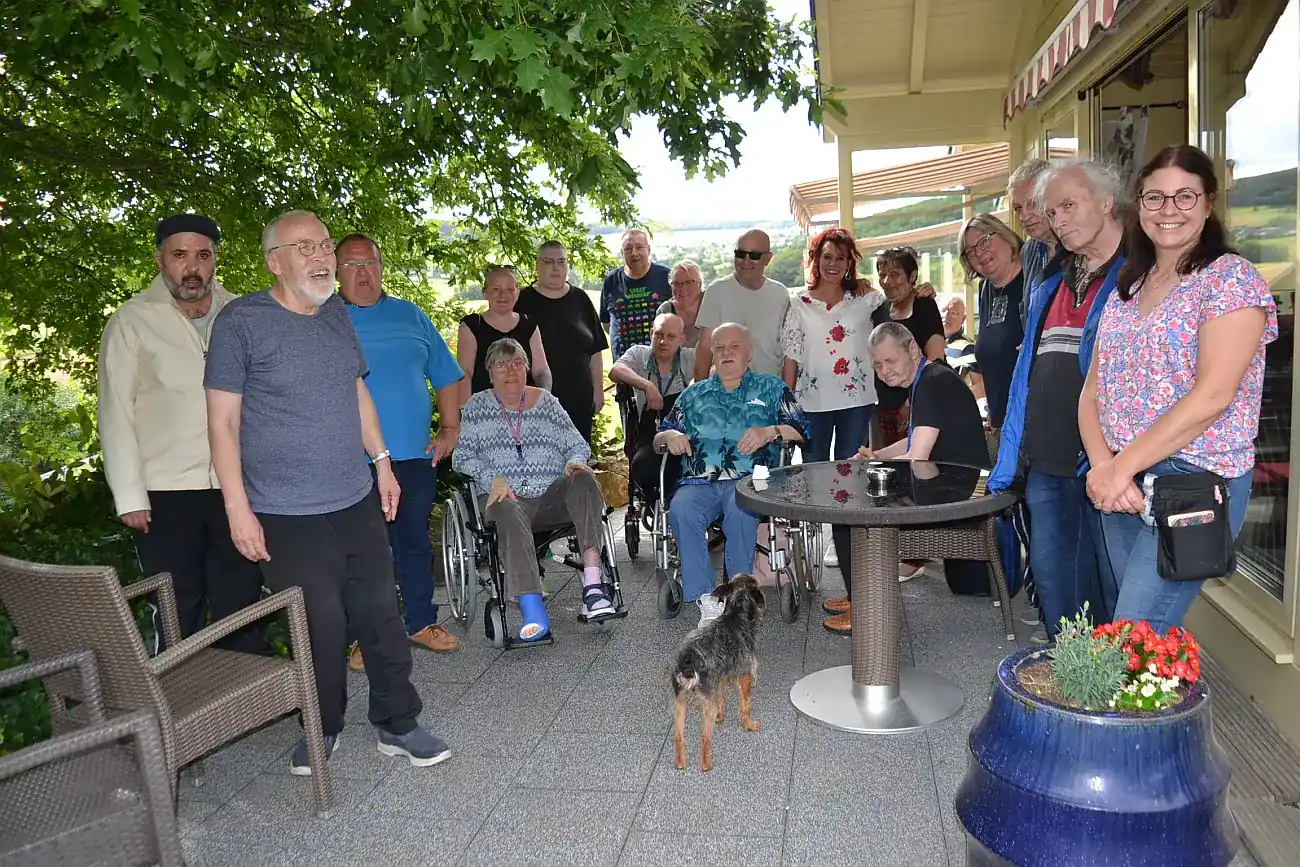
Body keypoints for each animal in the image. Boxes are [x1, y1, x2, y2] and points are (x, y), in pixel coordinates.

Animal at [676, 571, 764, 769]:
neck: (736, 614)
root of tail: (688, 662)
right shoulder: (745, 676)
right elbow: (746, 705)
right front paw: (749, 724)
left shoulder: (721, 679)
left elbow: (722, 699)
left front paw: (721, 716)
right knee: (704, 737)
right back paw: (706, 764)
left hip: (680, 704)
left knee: (678, 735)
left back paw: (680, 762)